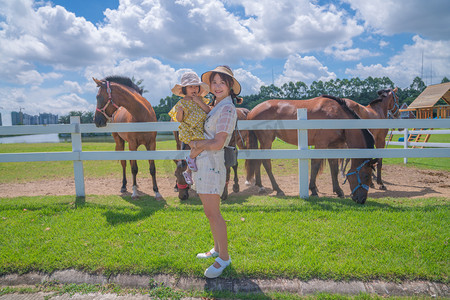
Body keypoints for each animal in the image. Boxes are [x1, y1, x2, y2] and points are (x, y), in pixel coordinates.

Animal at [246, 96, 376, 204]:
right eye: (366, 176)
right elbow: (315, 165)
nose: (362, 200)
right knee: (266, 162)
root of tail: (252, 111)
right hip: (267, 141)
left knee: (258, 160)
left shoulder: (334, 146)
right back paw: (278, 189)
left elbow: (334, 168)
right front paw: (313, 190)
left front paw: (338, 191)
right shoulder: (321, 144)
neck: (336, 115)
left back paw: (260, 186)